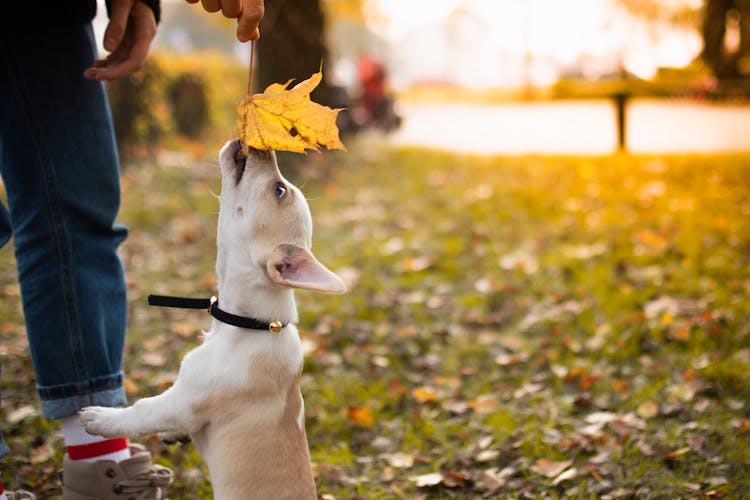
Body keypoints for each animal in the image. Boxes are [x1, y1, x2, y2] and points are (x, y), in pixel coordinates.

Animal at [83, 141, 350, 500]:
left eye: (279, 190)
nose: (265, 148)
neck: (251, 324)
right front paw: (172, 434)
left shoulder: (181, 401)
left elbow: (142, 410)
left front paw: (101, 418)